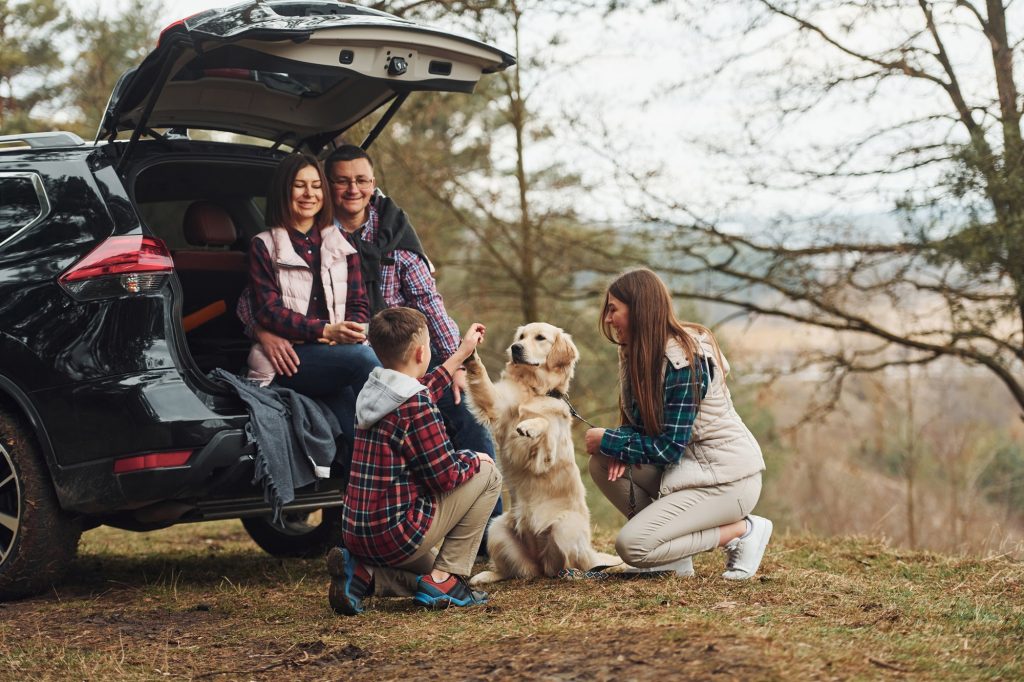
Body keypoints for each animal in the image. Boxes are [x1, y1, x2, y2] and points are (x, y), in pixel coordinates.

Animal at [462, 321, 614, 581]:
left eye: (540, 338)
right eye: (521, 336)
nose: (516, 347)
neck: (534, 389)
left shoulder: (545, 455)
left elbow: (545, 424)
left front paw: (529, 426)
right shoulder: (496, 403)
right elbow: (482, 381)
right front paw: (470, 351)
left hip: (564, 528)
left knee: (562, 565)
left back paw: (571, 573)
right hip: (496, 529)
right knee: (521, 571)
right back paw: (489, 576)